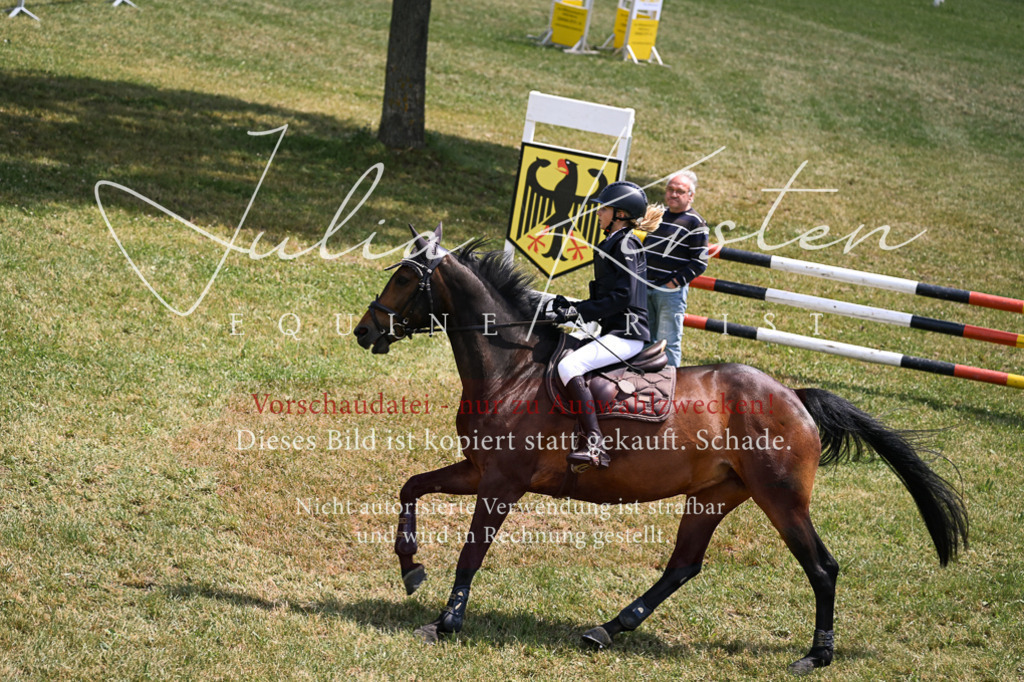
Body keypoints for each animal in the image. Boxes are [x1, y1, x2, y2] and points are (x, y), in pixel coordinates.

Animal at [353, 223, 968, 674]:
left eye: (405, 278)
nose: (364, 331)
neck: (514, 368)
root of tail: (794, 396)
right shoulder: (478, 470)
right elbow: (411, 487)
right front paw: (411, 567)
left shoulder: (503, 482)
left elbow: (471, 551)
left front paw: (447, 621)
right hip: (715, 495)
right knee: (683, 565)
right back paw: (608, 628)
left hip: (781, 499)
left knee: (822, 566)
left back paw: (816, 655)